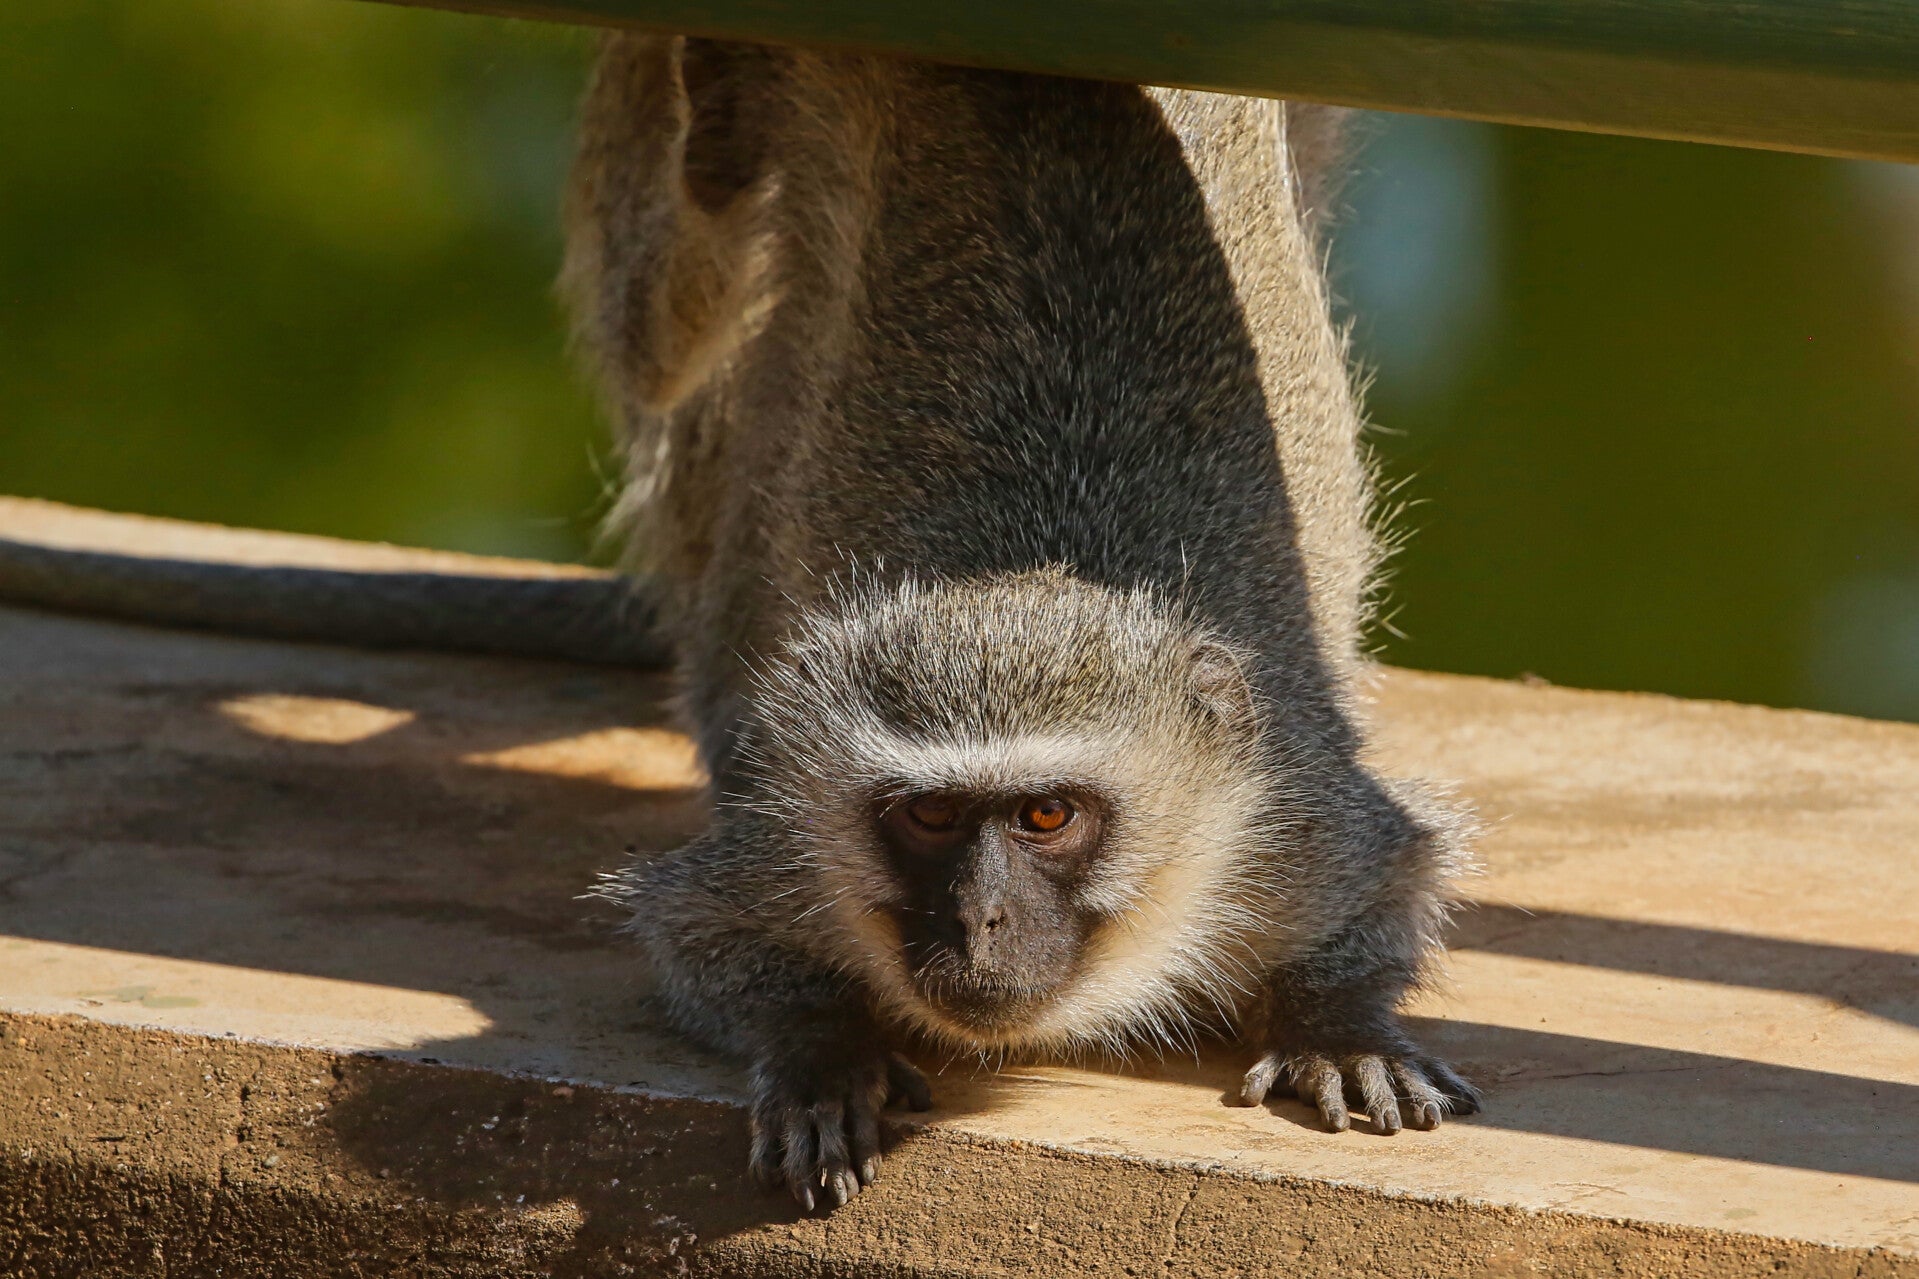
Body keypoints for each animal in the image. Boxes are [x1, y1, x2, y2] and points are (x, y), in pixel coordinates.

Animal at [0, 33, 1482, 1212]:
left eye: (1046, 816)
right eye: (928, 817)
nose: (979, 923)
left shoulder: (1287, 820)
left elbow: (1390, 882)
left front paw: (1338, 1020)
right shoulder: (781, 841)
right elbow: (694, 931)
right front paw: (822, 1052)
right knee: (675, 322)